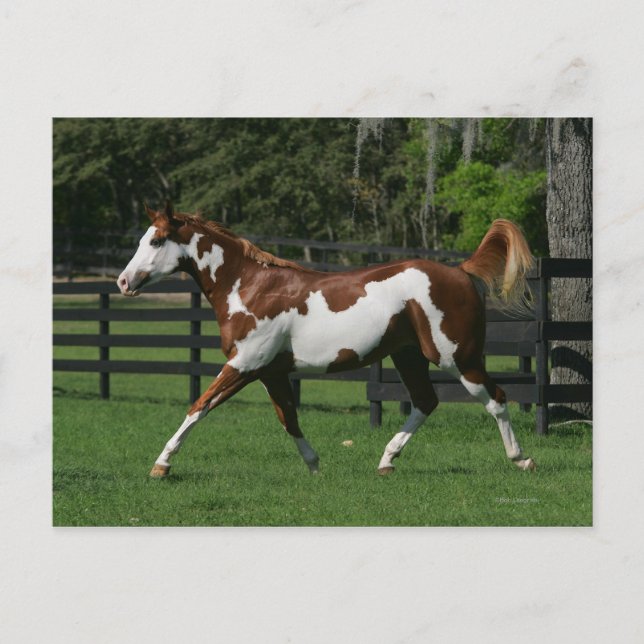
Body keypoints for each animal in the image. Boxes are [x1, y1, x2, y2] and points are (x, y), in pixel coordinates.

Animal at [117, 203, 536, 478]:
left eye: (156, 241)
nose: (123, 282)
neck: (249, 287)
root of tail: (462, 271)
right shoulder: (270, 372)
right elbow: (289, 418)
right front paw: (315, 465)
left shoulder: (245, 364)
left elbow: (199, 406)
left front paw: (161, 464)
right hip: (409, 356)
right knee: (425, 401)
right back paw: (387, 461)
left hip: (458, 357)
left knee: (495, 399)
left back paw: (521, 459)